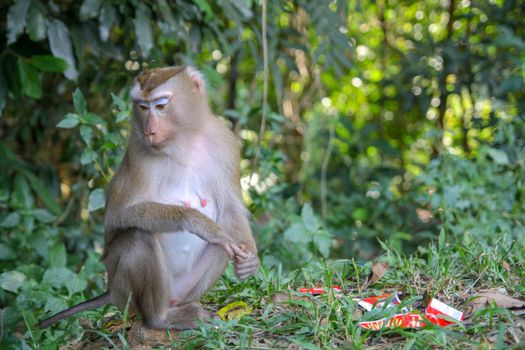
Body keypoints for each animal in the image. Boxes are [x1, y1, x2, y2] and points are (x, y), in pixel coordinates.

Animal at [39, 66, 258, 330]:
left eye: (161, 105)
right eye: (143, 107)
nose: (149, 130)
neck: (183, 142)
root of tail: (111, 290)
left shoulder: (225, 144)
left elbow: (230, 209)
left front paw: (250, 259)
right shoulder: (138, 151)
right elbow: (119, 215)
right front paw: (198, 223)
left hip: (182, 289)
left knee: (227, 244)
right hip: (124, 290)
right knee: (137, 239)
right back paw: (159, 319)